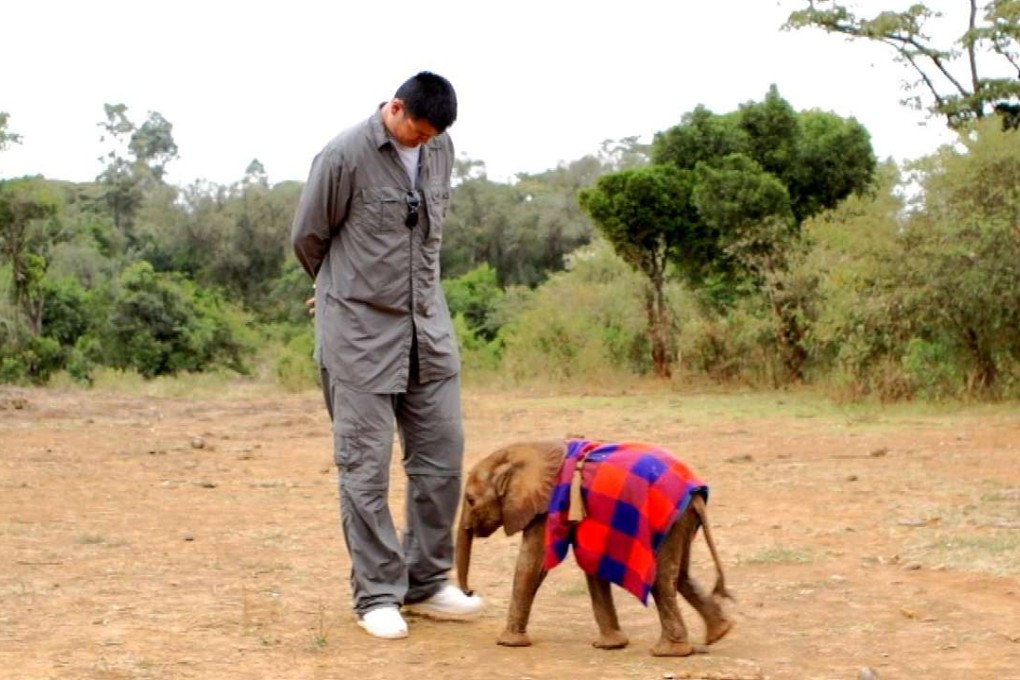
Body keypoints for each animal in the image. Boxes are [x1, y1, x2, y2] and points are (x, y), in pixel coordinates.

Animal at [455, 439, 733, 657]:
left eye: (470, 500)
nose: (470, 592)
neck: (523, 453)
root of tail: (697, 493)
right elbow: (591, 564)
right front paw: (611, 646)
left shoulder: (546, 506)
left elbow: (532, 563)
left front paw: (508, 643)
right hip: (682, 522)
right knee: (681, 574)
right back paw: (718, 634)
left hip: (669, 522)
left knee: (662, 579)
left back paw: (667, 652)